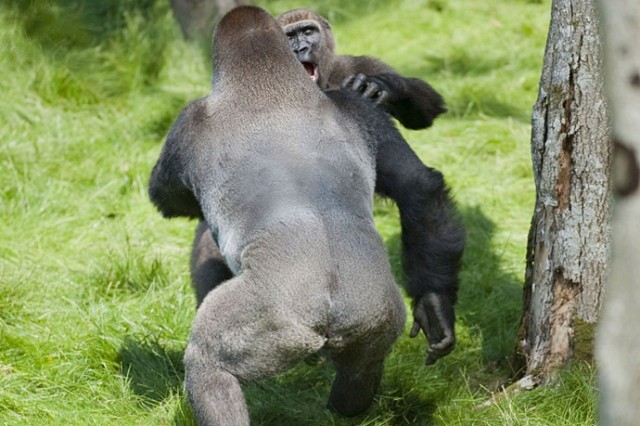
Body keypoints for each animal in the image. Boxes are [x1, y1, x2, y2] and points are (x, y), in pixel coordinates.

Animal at [151, 6, 420, 422]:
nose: (301, 47)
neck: (269, 83)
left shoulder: (187, 121)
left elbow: (167, 199)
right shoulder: (360, 111)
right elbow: (416, 187)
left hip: (274, 319)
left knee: (209, 363)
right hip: (376, 312)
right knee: (364, 364)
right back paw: (344, 410)